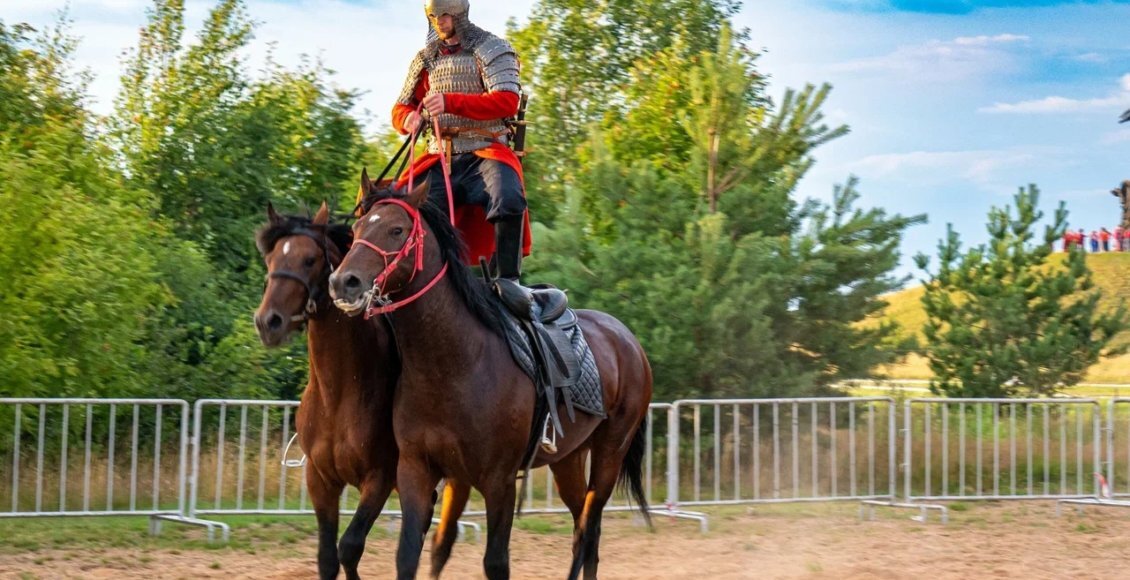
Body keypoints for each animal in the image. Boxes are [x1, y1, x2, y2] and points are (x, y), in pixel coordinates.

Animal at [254, 203, 470, 578]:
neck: (338, 393)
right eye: (271, 259)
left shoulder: (379, 478)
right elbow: (328, 557)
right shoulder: (320, 479)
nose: (269, 322)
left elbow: (350, 547)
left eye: (310, 259)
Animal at [327, 176, 655, 578]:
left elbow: (495, 562)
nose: (344, 282)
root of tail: (629, 341)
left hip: (610, 453)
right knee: (584, 528)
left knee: (588, 529)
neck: (453, 364)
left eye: (396, 229)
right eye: (357, 228)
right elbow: (412, 554)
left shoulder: (500, 482)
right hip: (568, 458)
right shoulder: (418, 471)